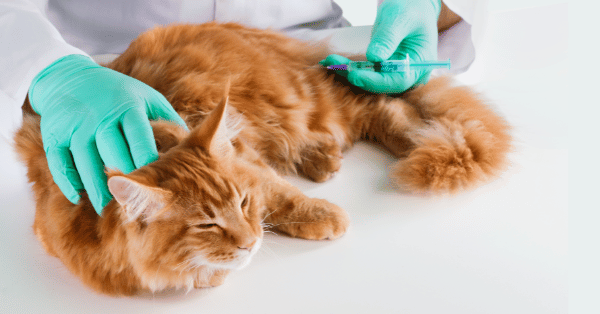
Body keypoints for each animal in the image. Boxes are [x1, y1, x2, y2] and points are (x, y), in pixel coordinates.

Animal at [12, 22, 510, 296]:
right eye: (206, 225)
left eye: (242, 204)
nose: (251, 243)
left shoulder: (248, 165)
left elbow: (283, 196)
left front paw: (324, 216)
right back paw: (323, 157)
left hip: (305, 101)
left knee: (381, 106)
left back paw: (405, 143)